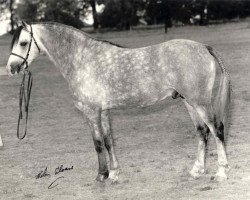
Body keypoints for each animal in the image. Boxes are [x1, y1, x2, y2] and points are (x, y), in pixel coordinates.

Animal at [5, 21, 230, 183]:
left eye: (23, 43)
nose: (11, 68)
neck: (82, 59)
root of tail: (204, 47)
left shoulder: (91, 112)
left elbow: (97, 144)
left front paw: (101, 175)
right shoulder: (104, 112)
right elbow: (108, 141)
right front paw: (114, 173)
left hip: (200, 102)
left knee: (217, 129)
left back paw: (221, 173)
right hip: (189, 102)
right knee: (202, 132)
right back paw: (197, 170)